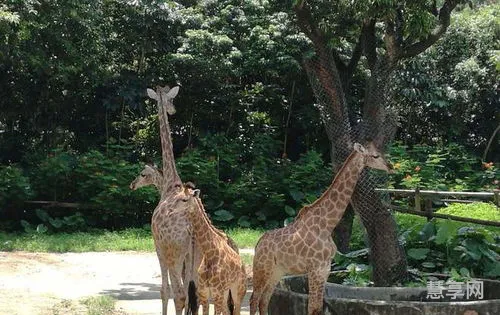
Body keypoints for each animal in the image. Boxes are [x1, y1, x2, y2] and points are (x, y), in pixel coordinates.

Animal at [248, 143, 392, 315]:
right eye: (375, 156)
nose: (390, 167)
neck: (327, 225)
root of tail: (258, 244)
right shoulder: (315, 269)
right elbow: (312, 307)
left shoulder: (325, 269)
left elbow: (318, 307)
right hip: (263, 269)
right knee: (254, 300)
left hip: (277, 271)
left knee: (264, 300)